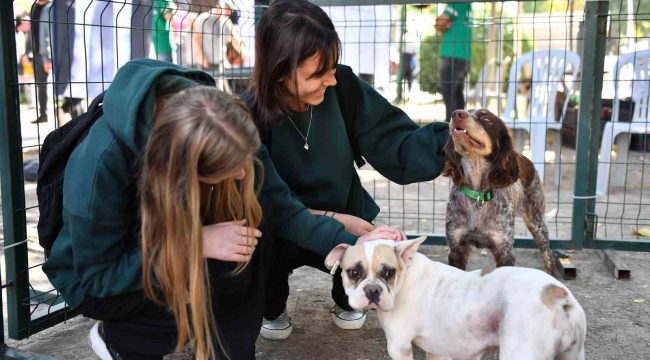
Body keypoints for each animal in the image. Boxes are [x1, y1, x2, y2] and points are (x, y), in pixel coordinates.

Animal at [440, 109, 552, 276]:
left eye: (486, 118)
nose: (457, 114)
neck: (478, 195)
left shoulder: (504, 252)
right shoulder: (456, 249)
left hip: (537, 223)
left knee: (548, 255)